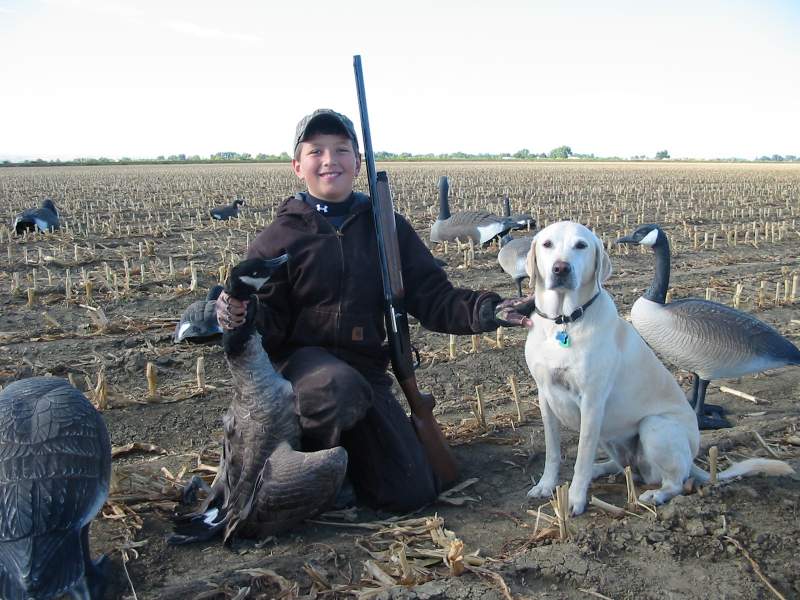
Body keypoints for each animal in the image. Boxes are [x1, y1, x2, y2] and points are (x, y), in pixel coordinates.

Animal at [520, 221, 792, 516]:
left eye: (581, 245)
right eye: (547, 244)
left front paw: (574, 499)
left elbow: (581, 456)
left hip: (655, 426)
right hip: (611, 437)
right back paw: (600, 470)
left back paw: (655, 494)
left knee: (674, 481)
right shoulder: (545, 396)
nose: (561, 268)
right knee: (626, 468)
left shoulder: (592, 402)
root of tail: (692, 459)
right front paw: (546, 486)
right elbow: (553, 452)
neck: (564, 322)